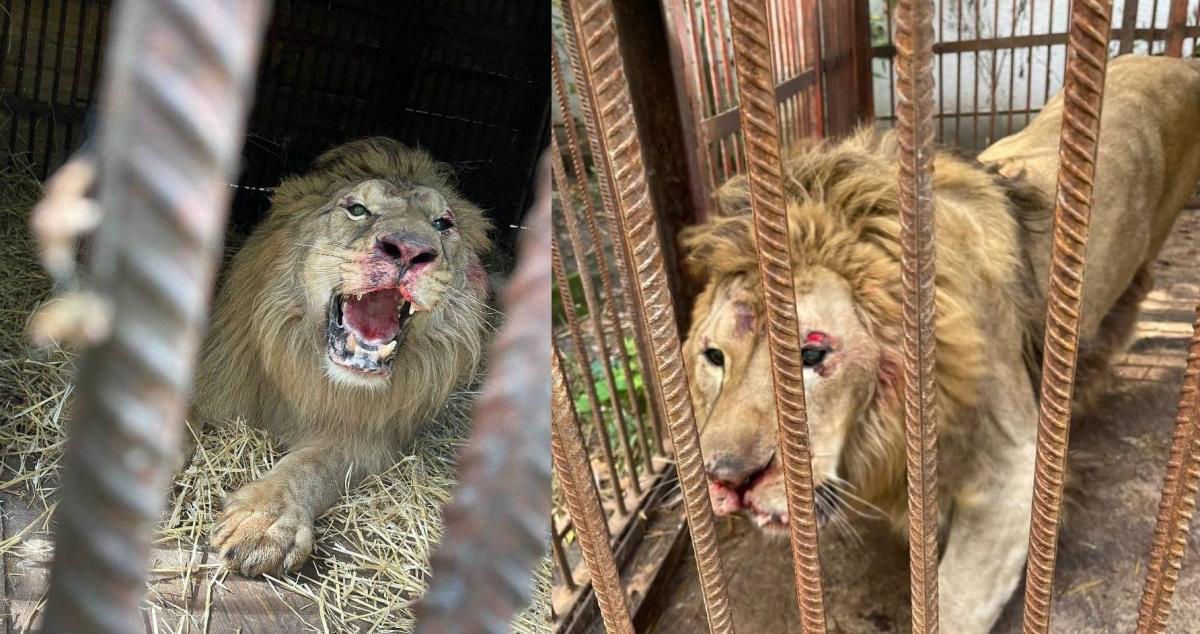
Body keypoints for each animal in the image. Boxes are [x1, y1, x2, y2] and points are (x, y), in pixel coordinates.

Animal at [190, 138, 493, 577]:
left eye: (442, 224)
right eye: (357, 209)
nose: (410, 250)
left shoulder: (364, 433)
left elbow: (309, 467)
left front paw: (265, 522)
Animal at [681, 55, 1200, 632]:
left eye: (811, 355)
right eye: (714, 358)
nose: (729, 479)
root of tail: (1172, 59)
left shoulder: (1011, 472)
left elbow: (953, 603)